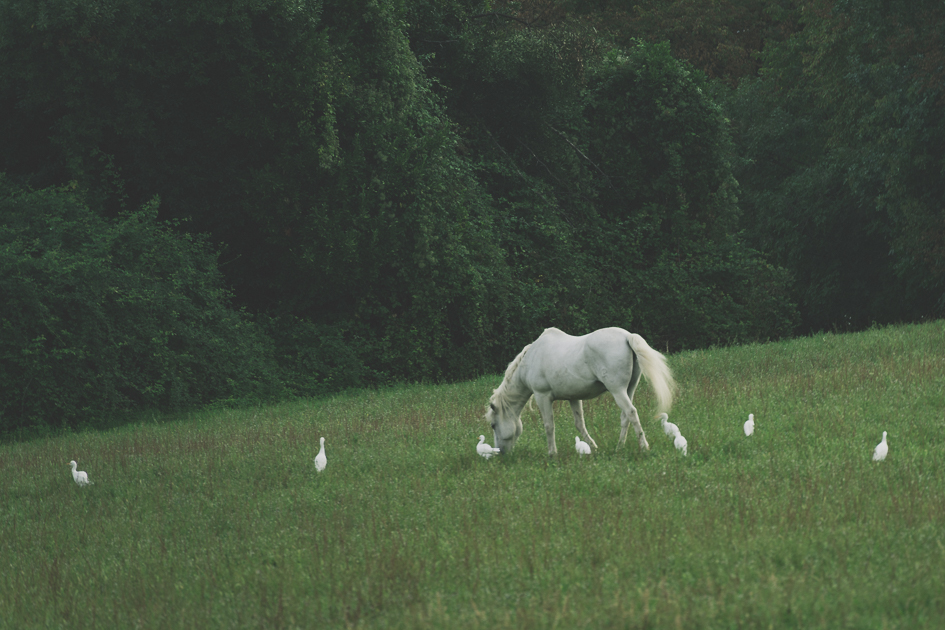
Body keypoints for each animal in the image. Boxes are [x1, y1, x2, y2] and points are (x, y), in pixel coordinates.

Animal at [485, 327, 675, 455]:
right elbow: (579, 424)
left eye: (493, 425)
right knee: (625, 417)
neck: (530, 360)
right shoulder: (574, 398)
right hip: (629, 390)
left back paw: (644, 447)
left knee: (631, 413)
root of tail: (627, 336)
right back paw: (619, 447)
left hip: (617, 390)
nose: (500, 453)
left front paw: (552, 453)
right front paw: (593, 447)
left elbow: (549, 425)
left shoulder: (542, 396)